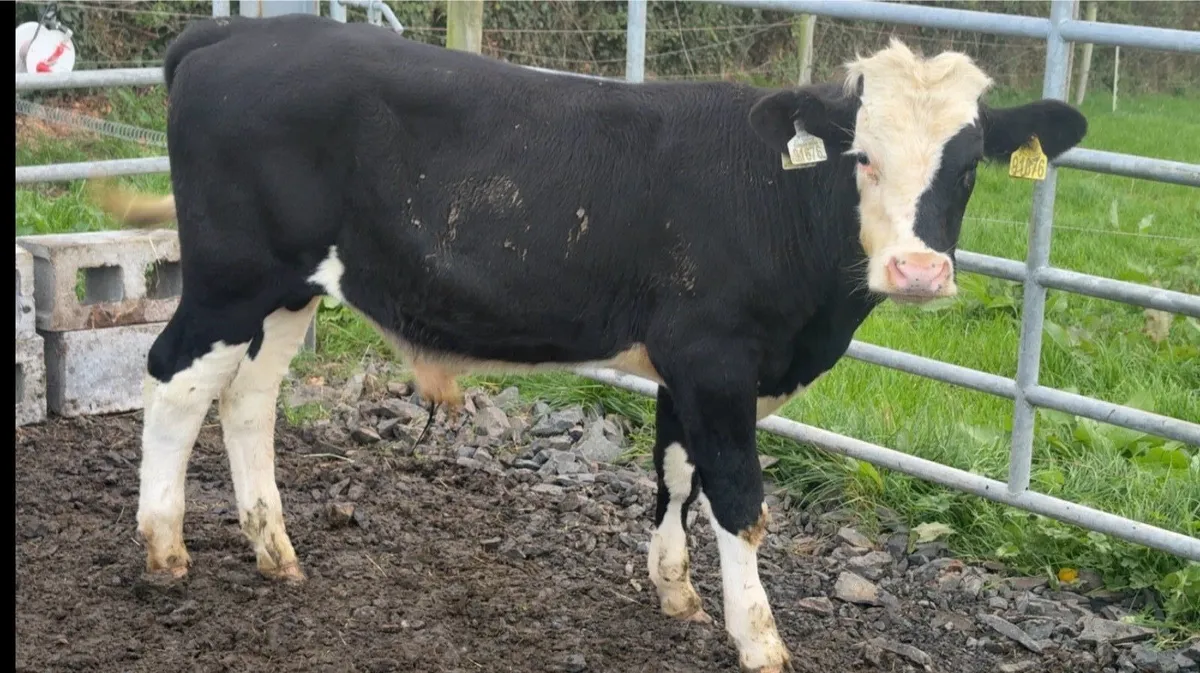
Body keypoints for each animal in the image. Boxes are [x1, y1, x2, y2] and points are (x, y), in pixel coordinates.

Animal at [93, 14, 1087, 672]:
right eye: (862, 156)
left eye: (967, 165)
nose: (918, 271)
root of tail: (235, 33)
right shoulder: (717, 355)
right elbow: (739, 497)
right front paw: (761, 640)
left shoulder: (690, 362)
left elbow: (675, 468)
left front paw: (676, 589)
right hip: (232, 276)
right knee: (173, 382)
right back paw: (165, 551)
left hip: (291, 289)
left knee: (247, 398)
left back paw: (275, 548)